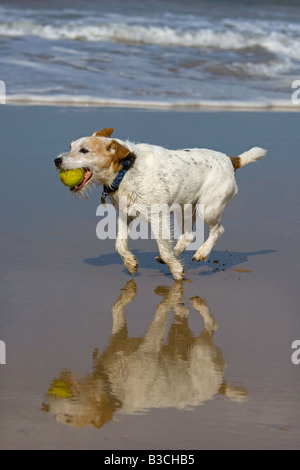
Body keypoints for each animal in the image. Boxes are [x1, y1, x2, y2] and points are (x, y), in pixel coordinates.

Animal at [55, 127, 266, 280]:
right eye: (71, 146)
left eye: (84, 150)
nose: (56, 160)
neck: (126, 169)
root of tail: (231, 160)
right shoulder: (125, 214)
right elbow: (119, 244)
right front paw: (130, 262)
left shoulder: (158, 217)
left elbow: (163, 248)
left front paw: (177, 270)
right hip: (185, 208)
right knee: (188, 236)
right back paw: (178, 253)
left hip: (209, 209)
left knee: (218, 230)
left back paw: (202, 252)